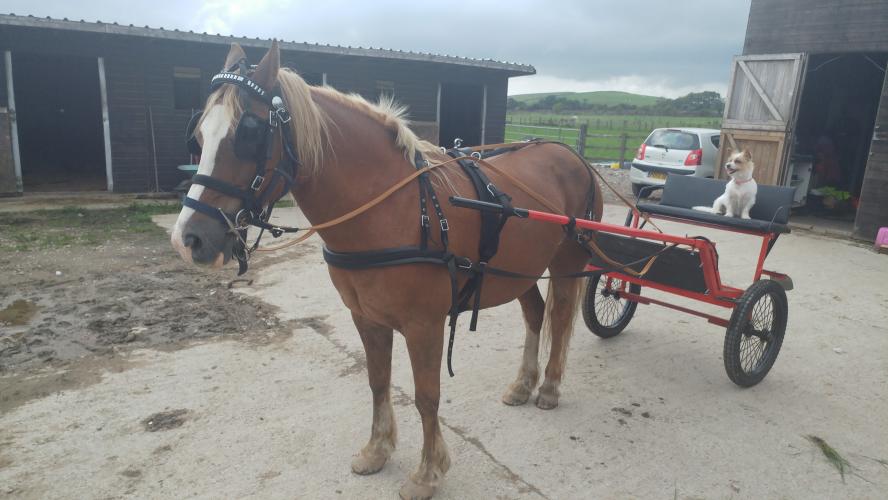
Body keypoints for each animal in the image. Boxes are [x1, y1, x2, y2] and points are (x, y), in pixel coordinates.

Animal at [170, 41, 602, 499]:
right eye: (200, 135)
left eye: (249, 134)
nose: (188, 239)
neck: (395, 207)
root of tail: (570, 154)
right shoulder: (366, 317)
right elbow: (378, 381)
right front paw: (377, 450)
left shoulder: (424, 324)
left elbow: (427, 395)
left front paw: (428, 472)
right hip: (519, 270)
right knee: (536, 315)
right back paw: (523, 384)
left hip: (566, 262)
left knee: (560, 320)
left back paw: (550, 387)